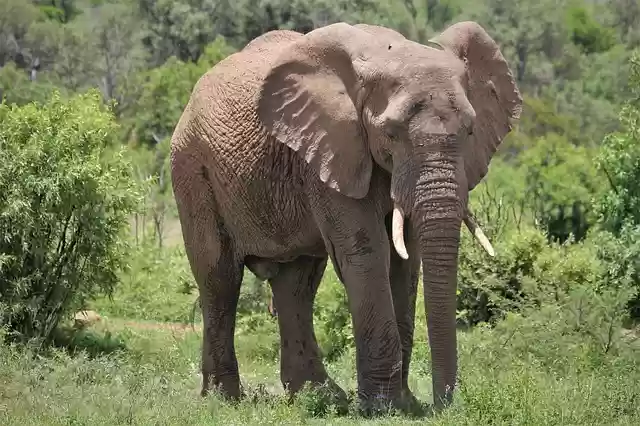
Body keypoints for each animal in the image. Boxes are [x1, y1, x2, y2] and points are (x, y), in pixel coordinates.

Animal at [170, 21, 521, 413]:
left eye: (471, 130)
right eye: (391, 134)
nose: (443, 405)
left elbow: (405, 260)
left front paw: (403, 405)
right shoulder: (331, 150)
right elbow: (368, 254)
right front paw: (382, 409)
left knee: (297, 284)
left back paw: (318, 396)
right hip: (192, 168)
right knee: (219, 277)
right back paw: (224, 400)